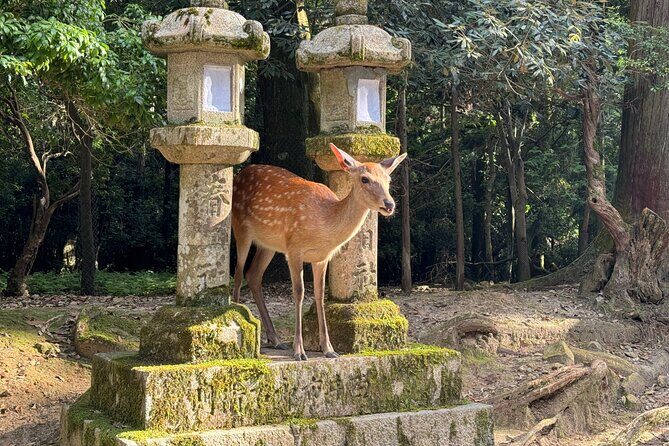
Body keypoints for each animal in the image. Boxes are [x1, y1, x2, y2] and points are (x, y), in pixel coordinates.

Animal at [231, 143, 406, 361]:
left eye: (388, 180)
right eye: (365, 179)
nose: (389, 204)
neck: (324, 223)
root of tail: (239, 175)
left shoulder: (322, 257)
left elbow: (320, 294)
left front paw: (329, 349)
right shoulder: (294, 249)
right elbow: (299, 292)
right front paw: (299, 351)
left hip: (268, 245)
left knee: (253, 275)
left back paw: (275, 339)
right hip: (240, 228)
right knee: (238, 274)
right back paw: (239, 318)